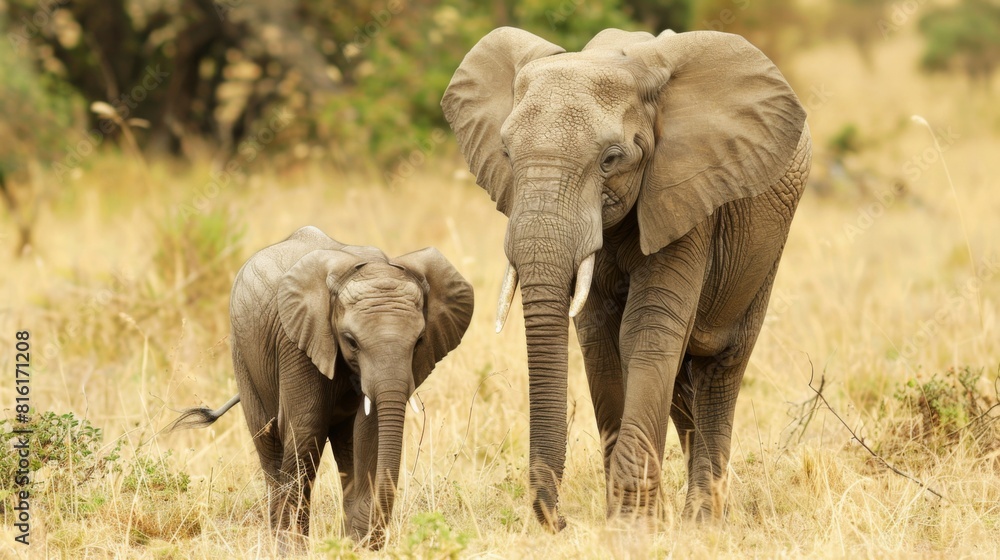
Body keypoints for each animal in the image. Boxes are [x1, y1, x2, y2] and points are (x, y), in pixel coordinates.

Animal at [169, 226, 474, 549]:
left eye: (419, 342)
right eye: (351, 341)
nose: (372, 542)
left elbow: (369, 433)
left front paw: (357, 547)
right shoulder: (296, 340)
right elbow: (306, 429)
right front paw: (295, 550)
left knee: (345, 445)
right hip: (243, 354)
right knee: (269, 441)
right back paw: (280, 541)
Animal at [442, 28, 811, 529]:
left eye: (611, 159)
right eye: (506, 153)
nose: (559, 522)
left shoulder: (686, 194)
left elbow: (645, 330)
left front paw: (633, 524)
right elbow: (600, 339)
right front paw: (629, 517)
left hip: (765, 251)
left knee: (721, 368)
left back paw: (704, 519)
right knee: (681, 384)